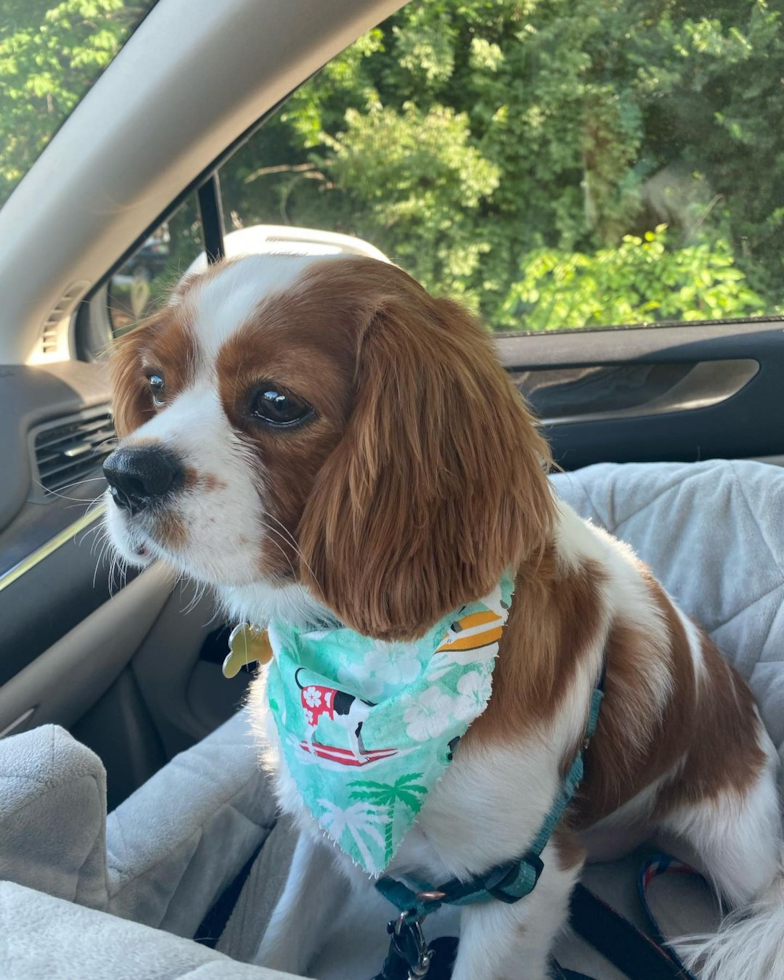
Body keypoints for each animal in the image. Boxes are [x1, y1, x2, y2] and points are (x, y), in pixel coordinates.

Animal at [104, 255, 784, 980]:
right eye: (155, 384)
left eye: (277, 403)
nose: (124, 472)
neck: (373, 648)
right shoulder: (329, 823)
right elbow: (282, 935)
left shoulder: (520, 879)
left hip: (734, 839)